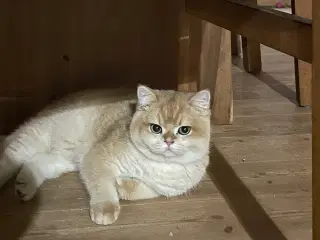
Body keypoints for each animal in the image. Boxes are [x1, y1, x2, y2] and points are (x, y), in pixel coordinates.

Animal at [0, 84, 211, 225]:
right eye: (156, 128)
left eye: (184, 130)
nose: (168, 141)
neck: (158, 165)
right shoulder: (97, 158)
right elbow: (103, 187)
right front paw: (106, 208)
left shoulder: (165, 189)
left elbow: (139, 191)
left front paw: (123, 185)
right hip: (34, 139)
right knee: (9, 156)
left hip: (62, 160)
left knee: (36, 163)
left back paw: (24, 185)